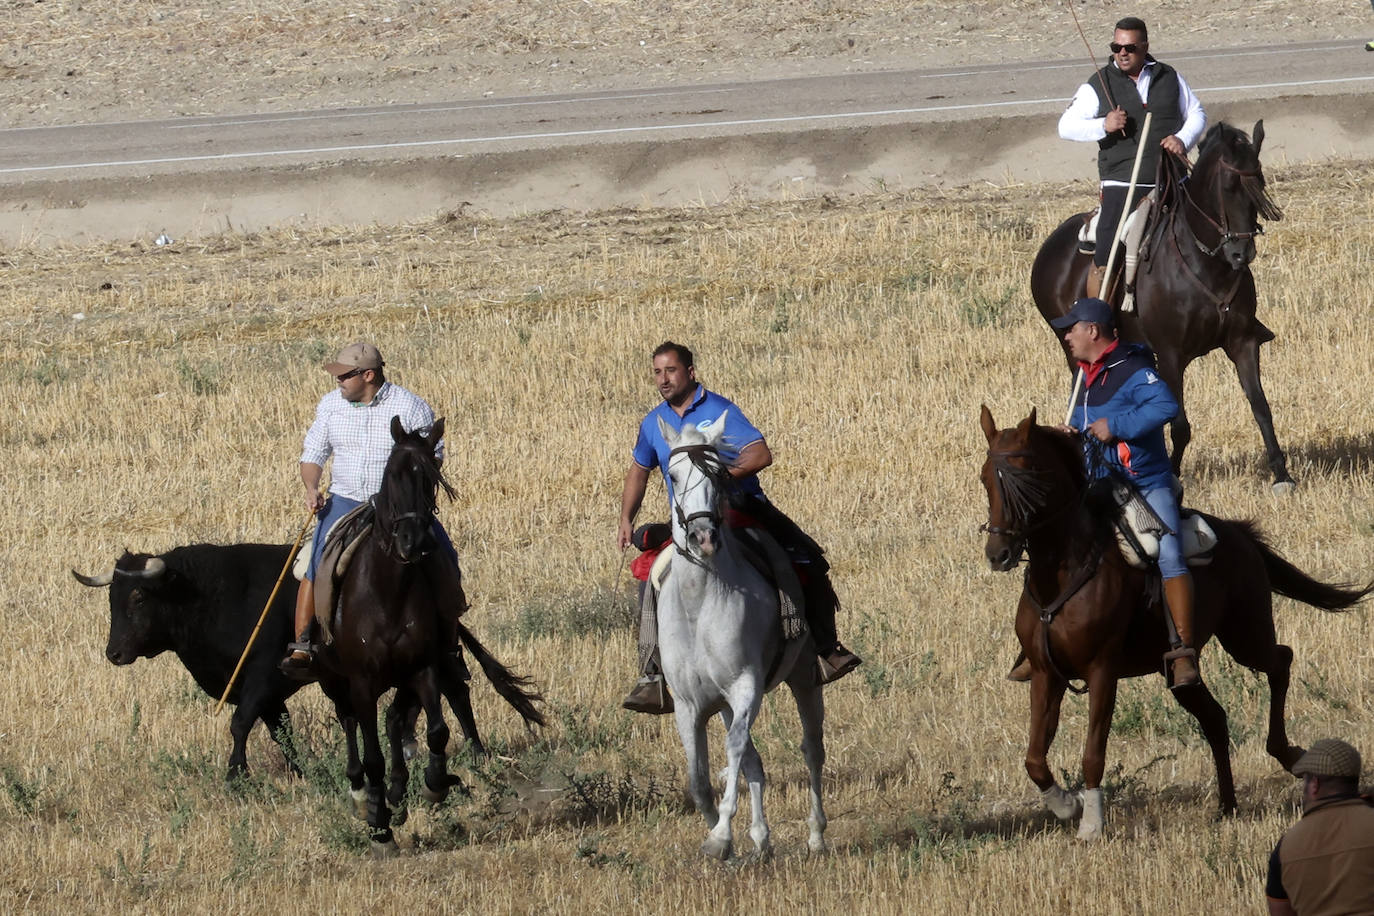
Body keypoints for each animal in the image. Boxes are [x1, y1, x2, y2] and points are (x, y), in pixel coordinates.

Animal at [314, 417, 544, 862]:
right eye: (392, 474)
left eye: (432, 478)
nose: (414, 542)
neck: (388, 591)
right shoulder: (363, 682)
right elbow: (372, 754)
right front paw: (379, 826)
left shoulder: (423, 668)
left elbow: (437, 731)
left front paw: (434, 785)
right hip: (336, 681)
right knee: (351, 725)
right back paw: (364, 797)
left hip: (417, 672)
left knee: (400, 717)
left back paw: (401, 791)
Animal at [654, 414, 824, 862]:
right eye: (672, 476)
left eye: (718, 475)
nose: (703, 538)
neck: (699, 603)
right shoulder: (689, 704)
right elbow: (700, 778)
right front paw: (725, 836)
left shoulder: (745, 686)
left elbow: (733, 752)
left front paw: (720, 837)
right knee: (754, 763)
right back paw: (762, 840)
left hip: (804, 677)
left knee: (812, 749)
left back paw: (816, 835)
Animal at [978, 406, 1374, 840]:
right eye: (985, 478)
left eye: (1027, 478)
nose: (998, 553)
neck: (1063, 575)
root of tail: (1239, 534)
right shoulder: (1046, 673)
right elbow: (1034, 758)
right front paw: (1067, 804)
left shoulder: (1102, 673)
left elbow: (1093, 752)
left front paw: (1091, 822)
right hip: (1176, 671)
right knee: (1215, 718)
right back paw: (1227, 805)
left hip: (1246, 637)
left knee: (1280, 661)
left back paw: (1285, 752)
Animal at [1033, 127, 1291, 494]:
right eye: (1229, 186)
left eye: (1260, 181)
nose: (1242, 253)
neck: (1206, 263)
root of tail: (1051, 244)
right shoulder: (1170, 355)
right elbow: (1179, 424)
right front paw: (1170, 475)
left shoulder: (1242, 342)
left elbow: (1261, 407)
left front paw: (1281, 474)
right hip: (1072, 348)